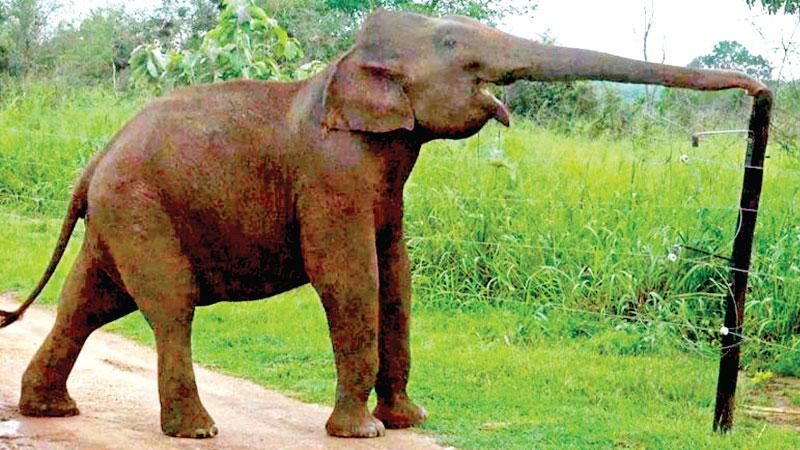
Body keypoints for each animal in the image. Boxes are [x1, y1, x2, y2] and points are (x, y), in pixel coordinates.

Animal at [0, 9, 768, 440]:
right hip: (140, 207)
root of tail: (94, 158)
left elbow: (397, 276)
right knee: (168, 306)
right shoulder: (331, 174)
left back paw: (51, 413)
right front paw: (363, 431)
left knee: (90, 302)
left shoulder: (386, 187)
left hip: (124, 211)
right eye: (456, 46)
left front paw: (409, 420)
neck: (345, 64)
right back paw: (197, 430)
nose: (762, 92)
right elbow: (348, 278)